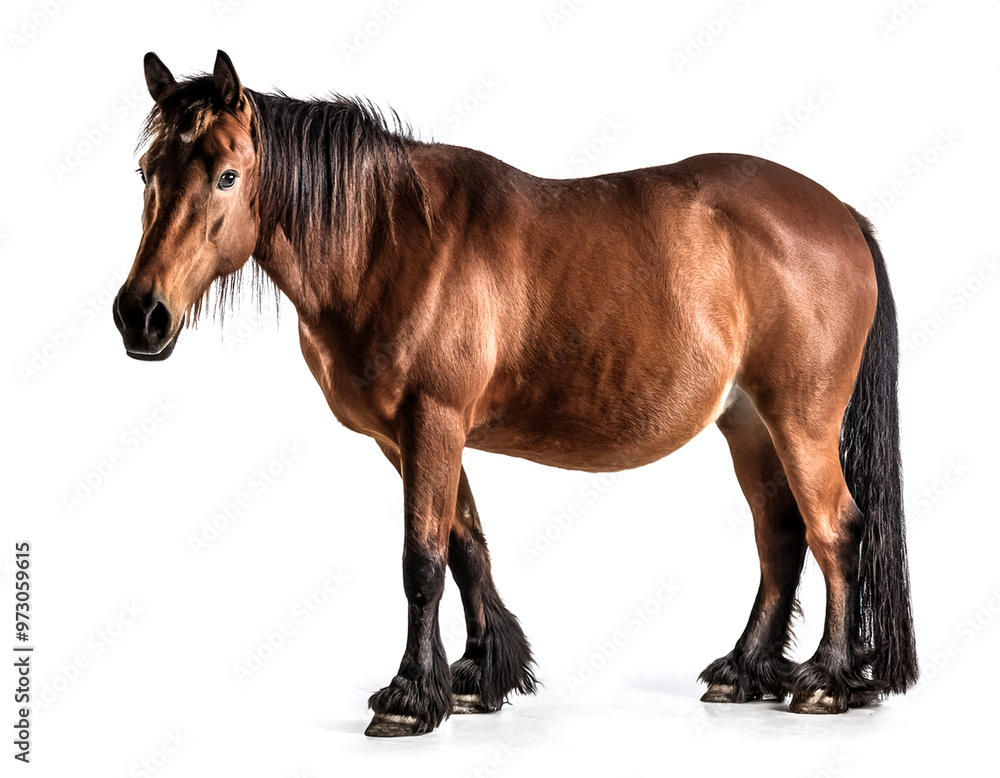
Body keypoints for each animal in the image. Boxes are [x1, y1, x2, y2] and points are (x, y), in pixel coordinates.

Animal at [113, 50, 917, 737]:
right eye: (148, 170)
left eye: (226, 175)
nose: (140, 315)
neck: (388, 241)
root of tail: (841, 216)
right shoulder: (407, 435)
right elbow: (465, 543)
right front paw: (479, 676)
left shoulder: (433, 420)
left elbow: (422, 559)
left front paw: (409, 697)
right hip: (747, 421)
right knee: (780, 533)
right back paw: (745, 670)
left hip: (800, 420)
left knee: (837, 529)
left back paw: (826, 680)